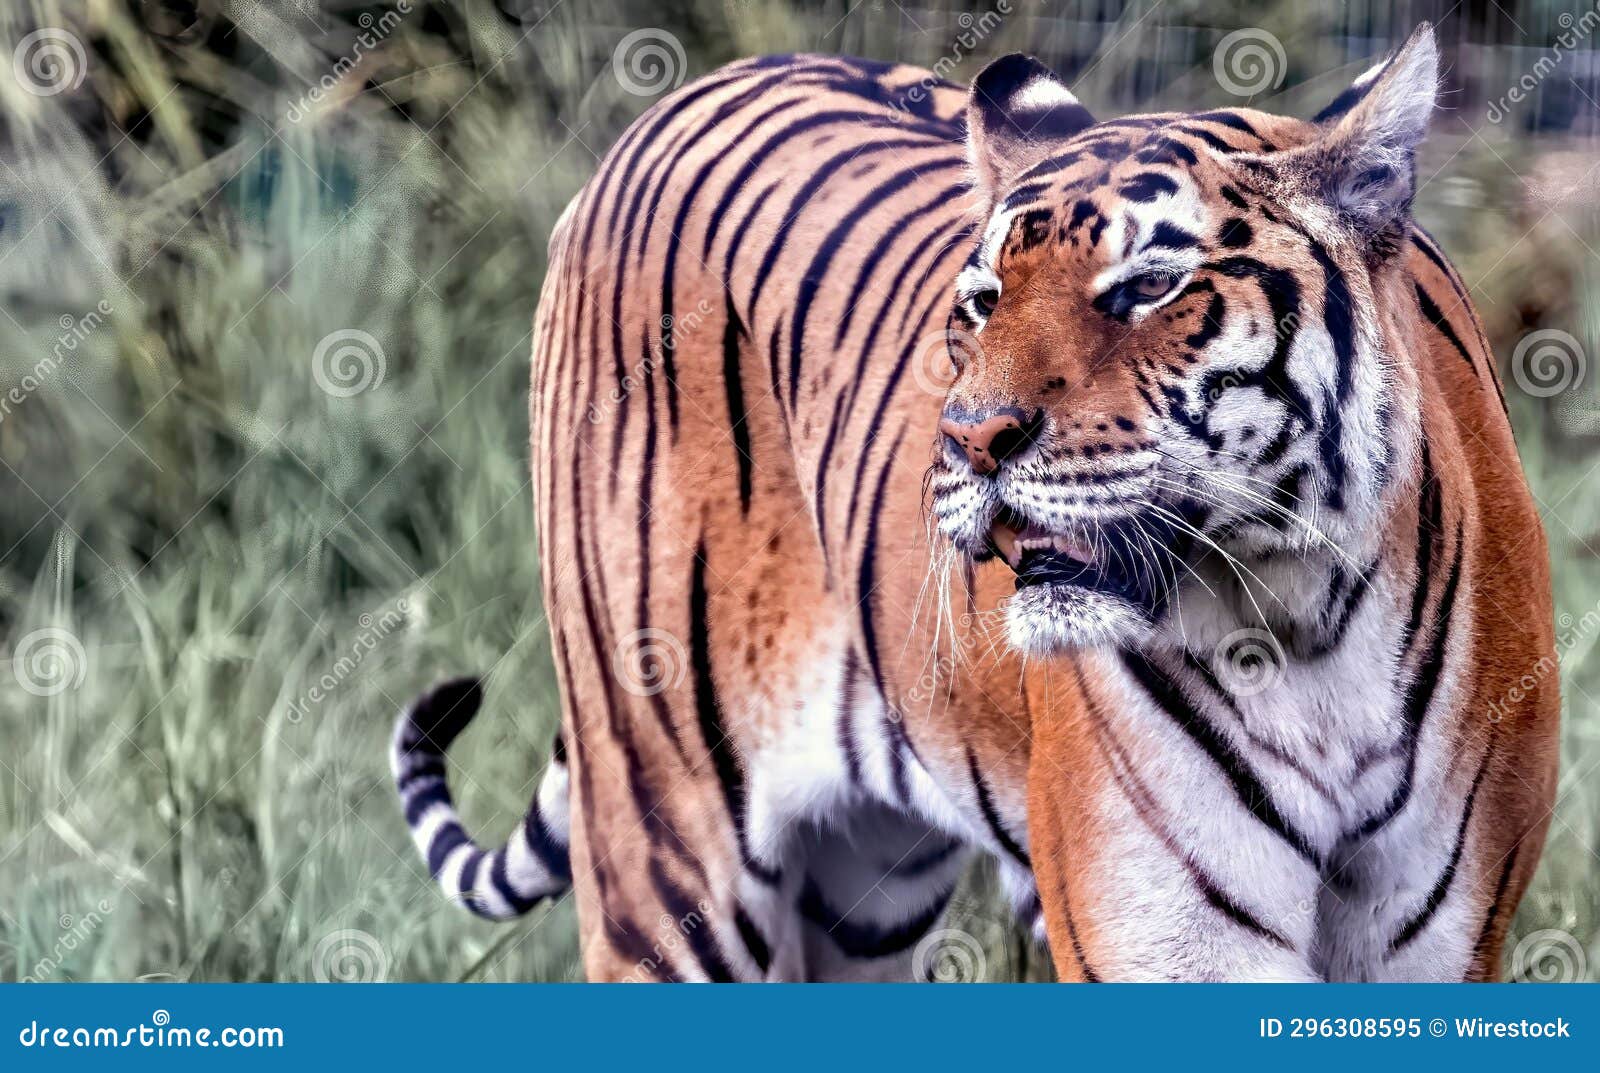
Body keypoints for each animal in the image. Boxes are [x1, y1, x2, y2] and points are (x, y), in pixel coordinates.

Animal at [393, 25, 1555, 985]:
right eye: (984, 301)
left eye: (1147, 288)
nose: (969, 438)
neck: (1301, 620)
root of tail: (671, 102)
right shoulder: (1168, 937)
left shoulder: (1441, 944)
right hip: (668, 841)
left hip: (863, 887)